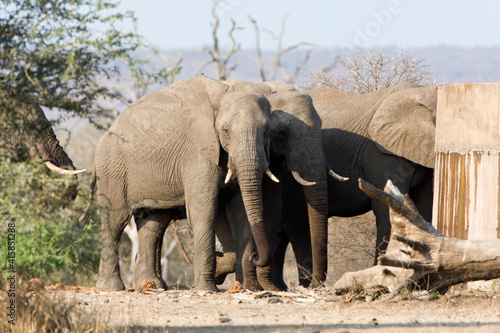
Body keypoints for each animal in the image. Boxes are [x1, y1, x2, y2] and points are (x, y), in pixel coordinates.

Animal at [80, 74, 280, 290]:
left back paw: (152, 284)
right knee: (114, 221)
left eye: (267, 130)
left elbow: (241, 213)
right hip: (113, 167)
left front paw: (249, 288)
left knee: (153, 224)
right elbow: (204, 212)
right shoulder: (197, 154)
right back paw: (111, 287)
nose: (255, 256)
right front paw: (207, 288)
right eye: (225, 130)